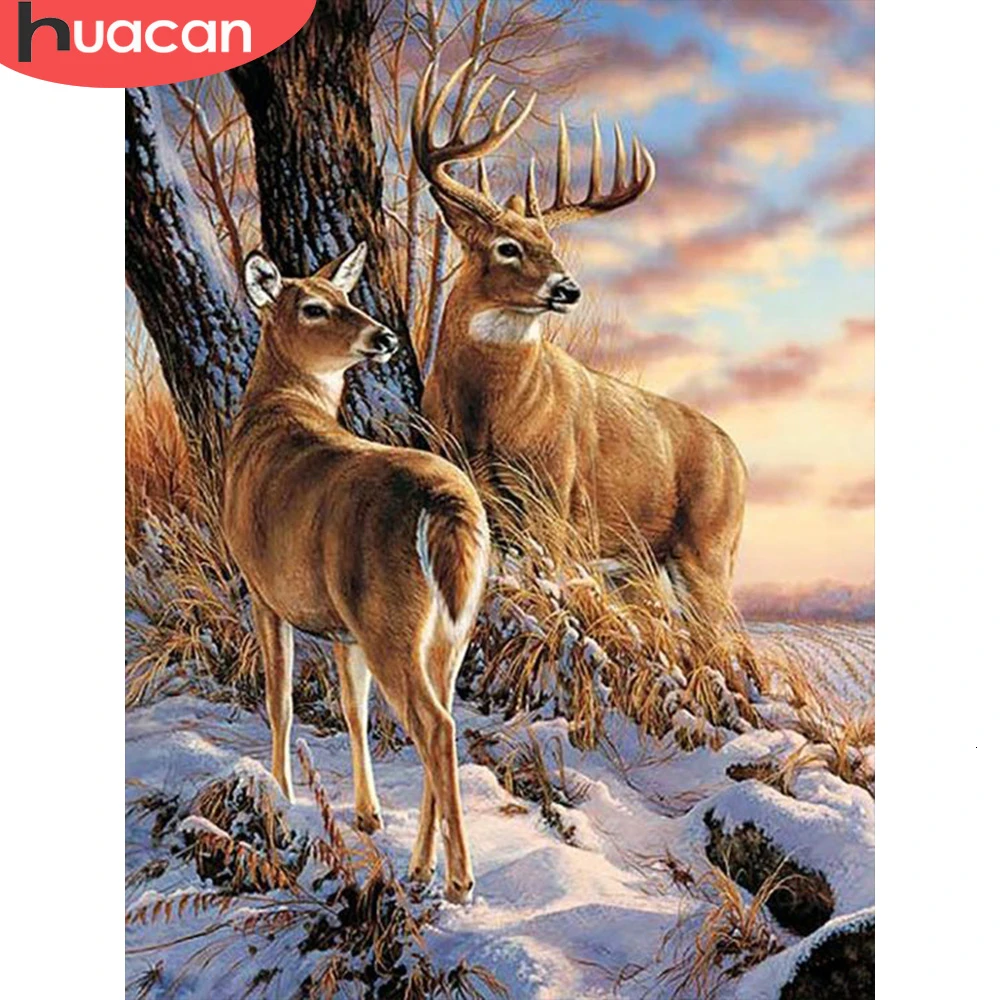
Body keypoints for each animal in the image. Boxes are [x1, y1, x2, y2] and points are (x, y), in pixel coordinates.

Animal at [222, 243, 490, 903]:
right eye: (315, 306)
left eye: (347, 296)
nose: (385, 335)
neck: (274, 412)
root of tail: (446, 504)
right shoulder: (342, 627)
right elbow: (352, 708)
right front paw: (367, 814)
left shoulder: (262, 589)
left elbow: (280, 700)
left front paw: (282, 796)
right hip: (450, 626)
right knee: (442, 718)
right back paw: (420, 868)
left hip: (390, 620)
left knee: (435, 726)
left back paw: (459, 880)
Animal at [412, 61, 747, 624]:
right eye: (507, 247)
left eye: (551, 244)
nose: (568, 289)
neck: (488, 413)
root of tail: (740, 462)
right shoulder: (471, 487)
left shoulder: (555, 497)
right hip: (639, 561)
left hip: (708, 545)